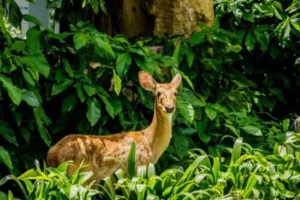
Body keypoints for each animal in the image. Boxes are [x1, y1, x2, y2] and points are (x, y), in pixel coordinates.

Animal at [46, 71, 182, 184]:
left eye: (176, 93)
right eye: (158, 93)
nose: (169, 107)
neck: (150, 144)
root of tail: (52, 153)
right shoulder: (136, 169)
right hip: (75, 172)